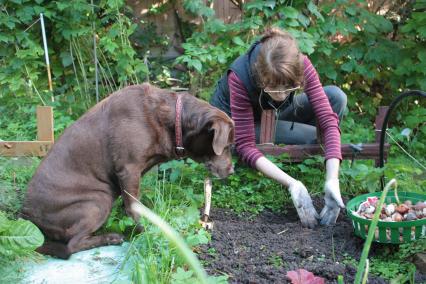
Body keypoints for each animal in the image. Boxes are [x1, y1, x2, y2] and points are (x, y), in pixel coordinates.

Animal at [21, 83, 235, 258]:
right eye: (226, 146)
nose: (232, 171)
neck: (172, 120)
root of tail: (26, 215)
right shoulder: (129, 170)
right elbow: (135, 208)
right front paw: (145, 232)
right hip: (98, 200)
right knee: (72, 245)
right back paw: (111, 238)